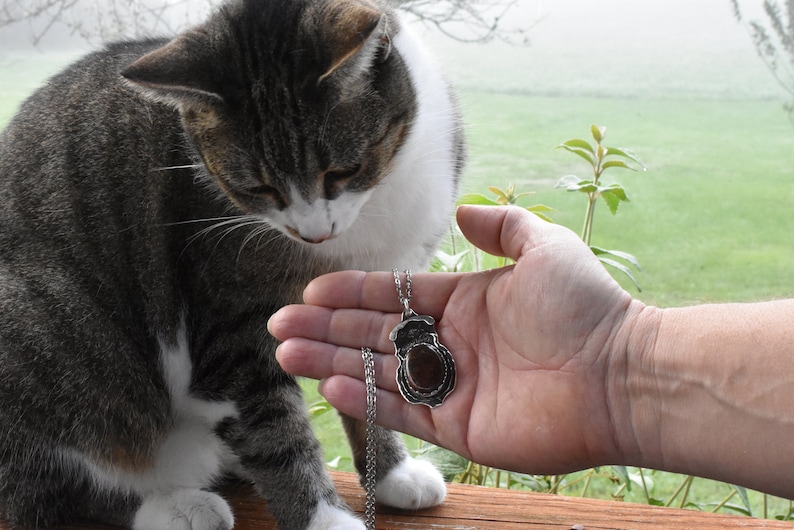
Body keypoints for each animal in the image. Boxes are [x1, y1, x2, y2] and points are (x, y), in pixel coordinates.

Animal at [0, 0, 464, 524]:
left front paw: (391, 474)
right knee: (46, 492)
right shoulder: (229, 327)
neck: (369, 217)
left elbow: (364, 386)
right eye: (258, 189)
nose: (313, 233)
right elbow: (275, 431)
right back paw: (176, 507)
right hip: (50, 331)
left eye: (342, 171)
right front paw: (324, 519)